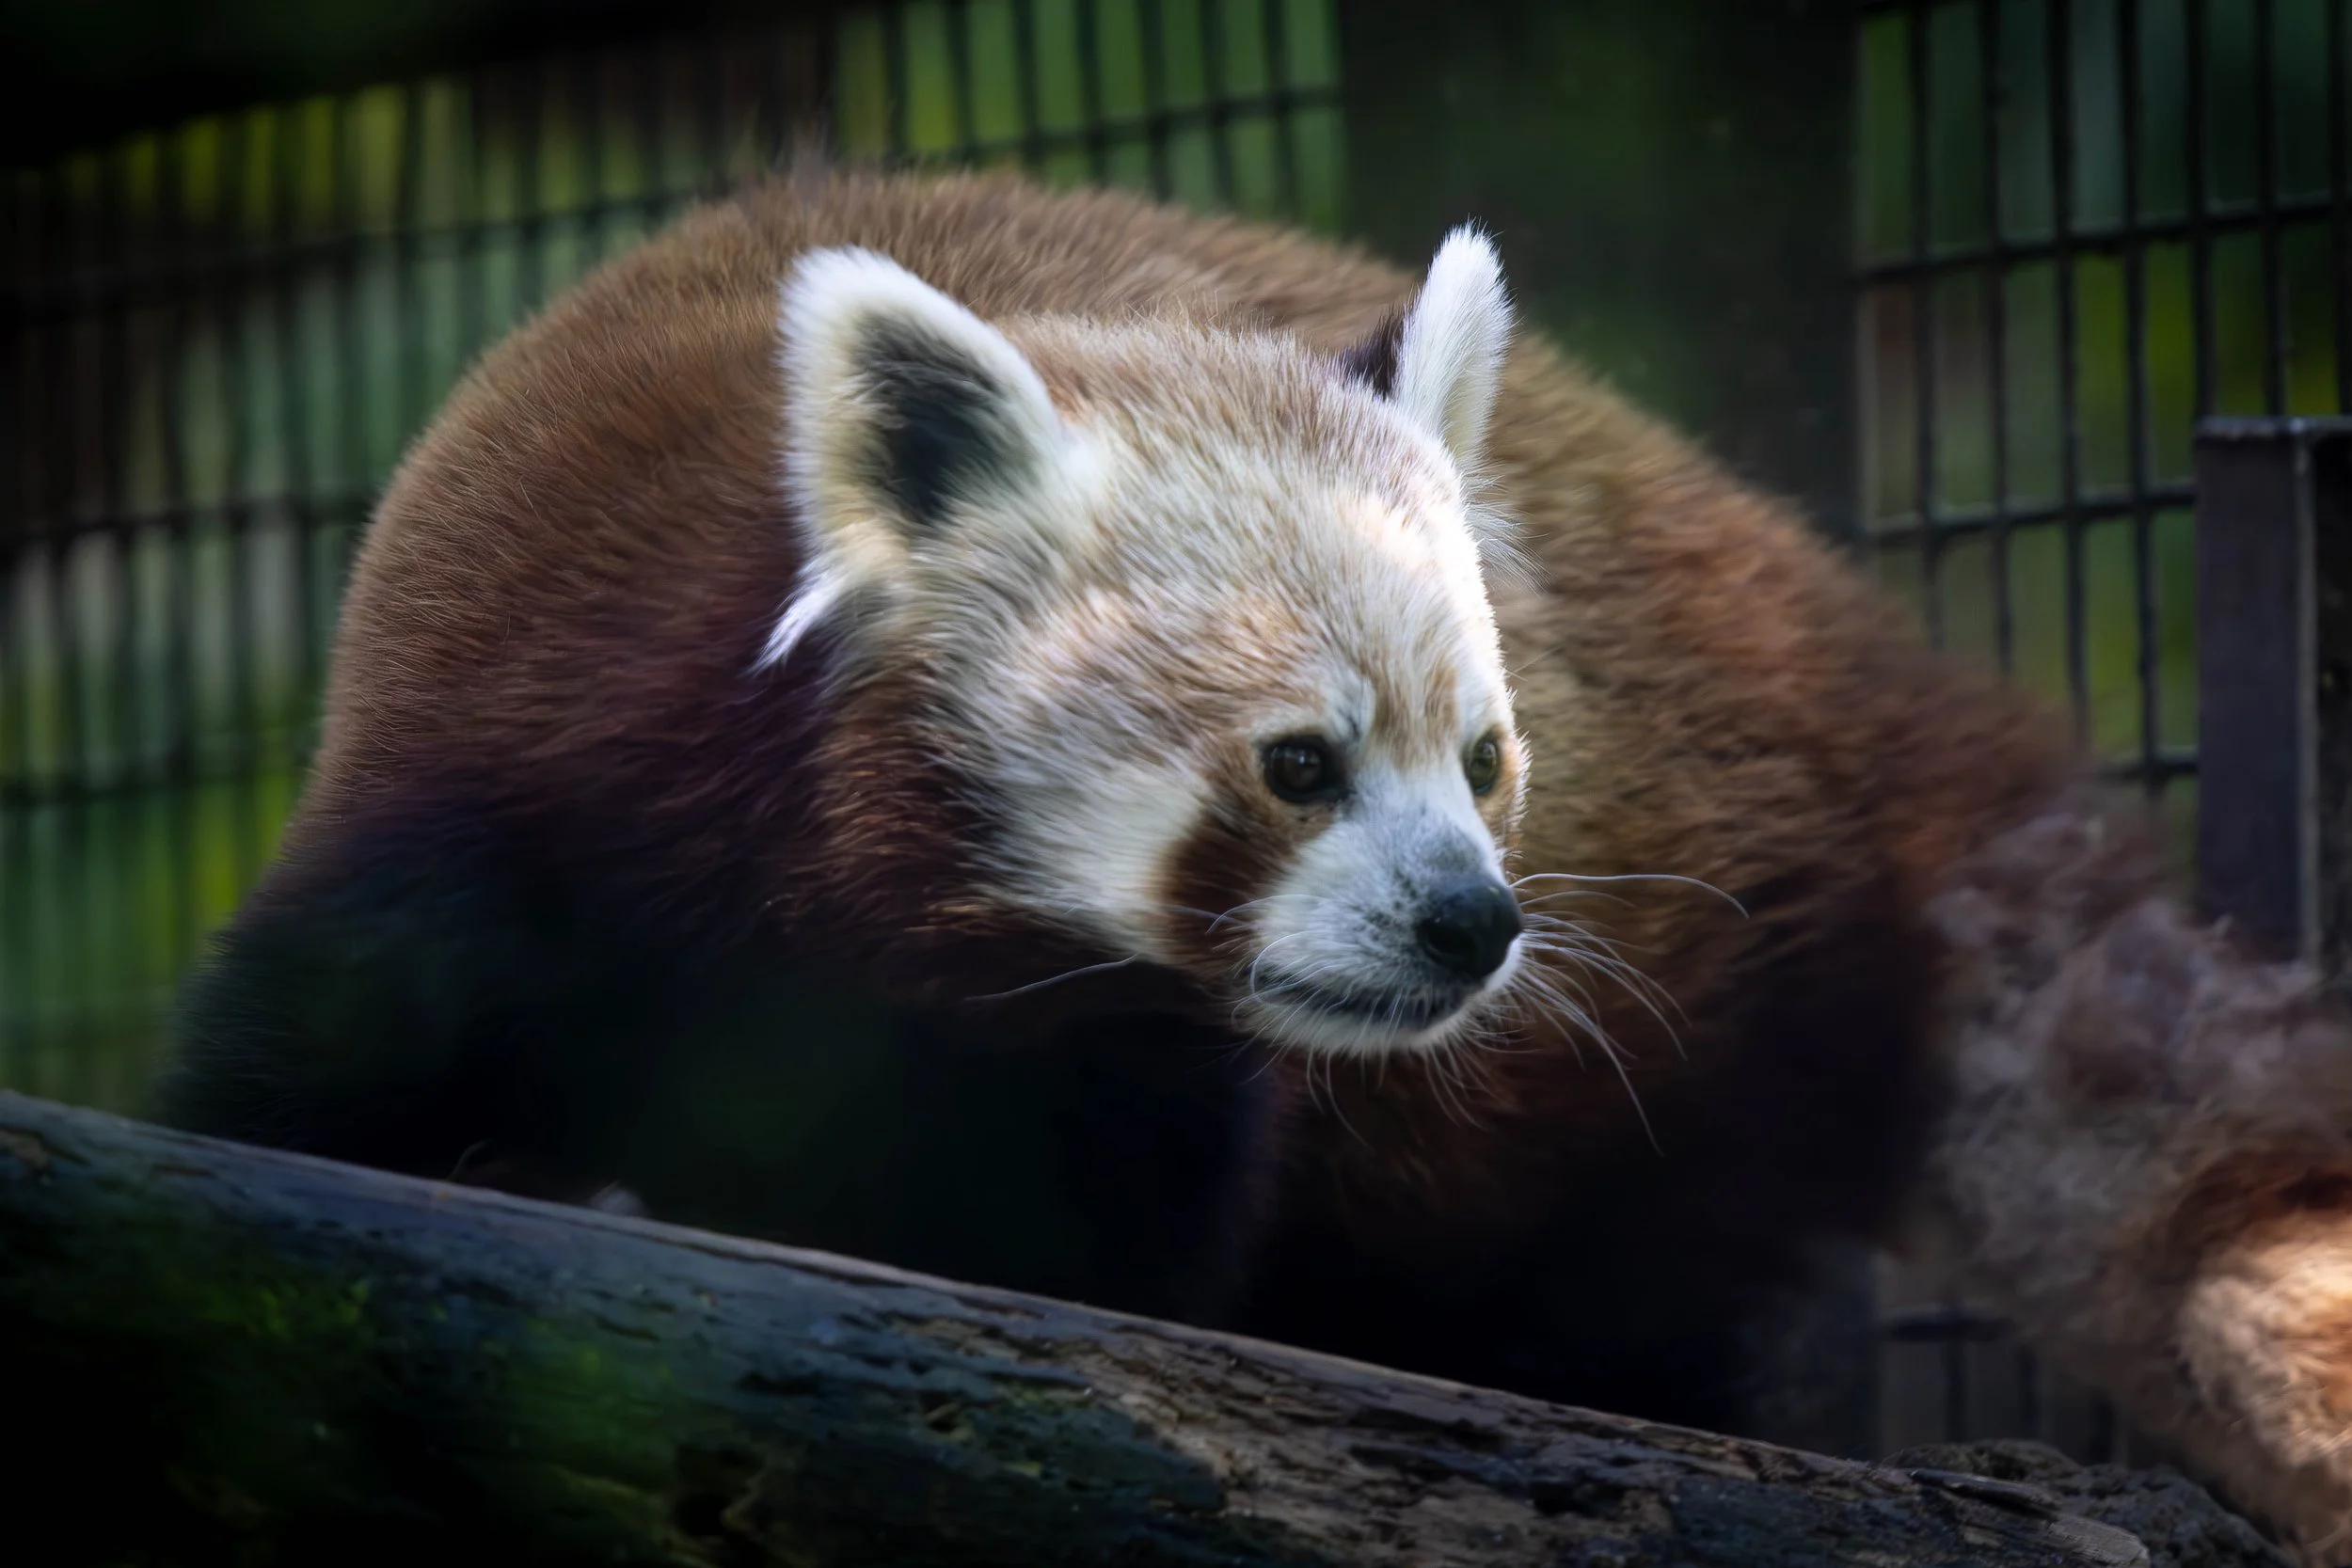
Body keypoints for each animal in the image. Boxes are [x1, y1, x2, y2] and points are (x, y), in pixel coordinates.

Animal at [158, 168, 2352, 1556]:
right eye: (1300, 764)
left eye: (1485, 759)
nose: (1473, 923)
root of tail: (1863, 664)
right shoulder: (500, 784)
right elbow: (296, 1085)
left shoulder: (1137, 1068)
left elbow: (1102, 1259)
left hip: (1688, 1038)